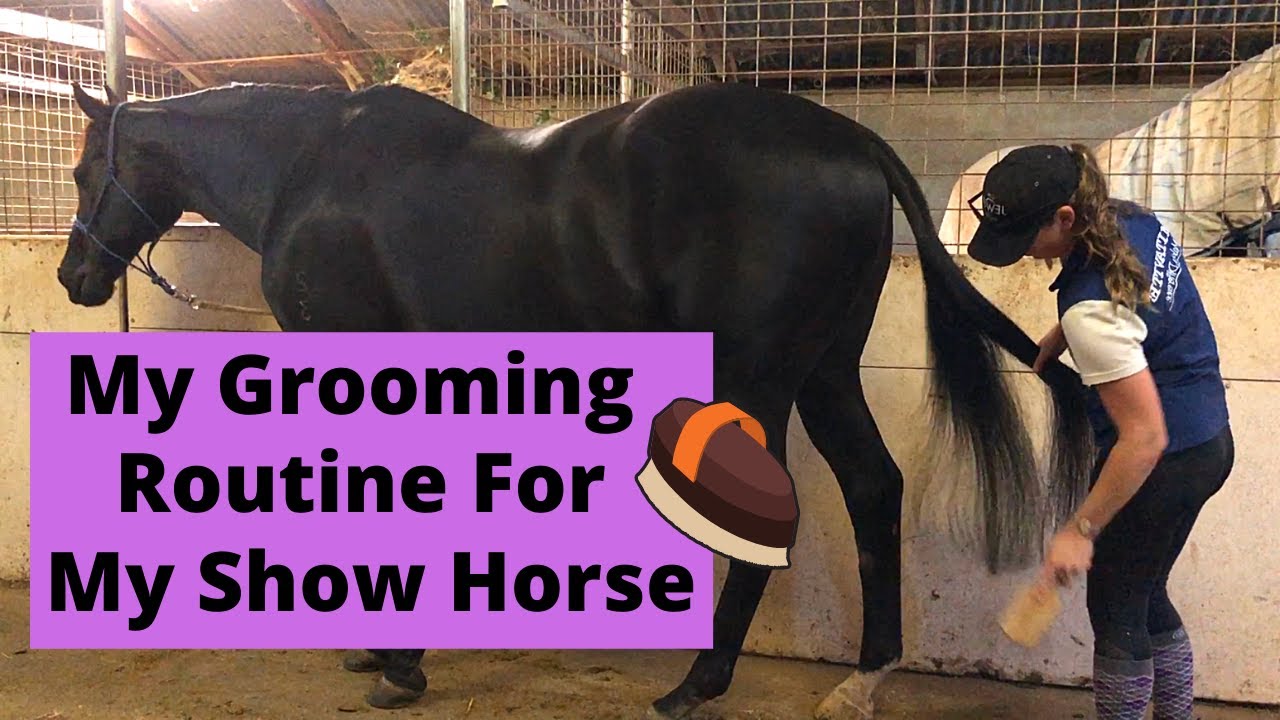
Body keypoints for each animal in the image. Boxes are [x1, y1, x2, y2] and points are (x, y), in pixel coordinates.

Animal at [58, 79, 1093, 719]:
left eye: (80, 171)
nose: (75, 276)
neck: (309, 173)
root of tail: (846, 138)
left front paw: (397, 662)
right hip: (824, 372)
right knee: (874, 489)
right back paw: (863, 679)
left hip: (759, 377)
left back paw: (696, 684)